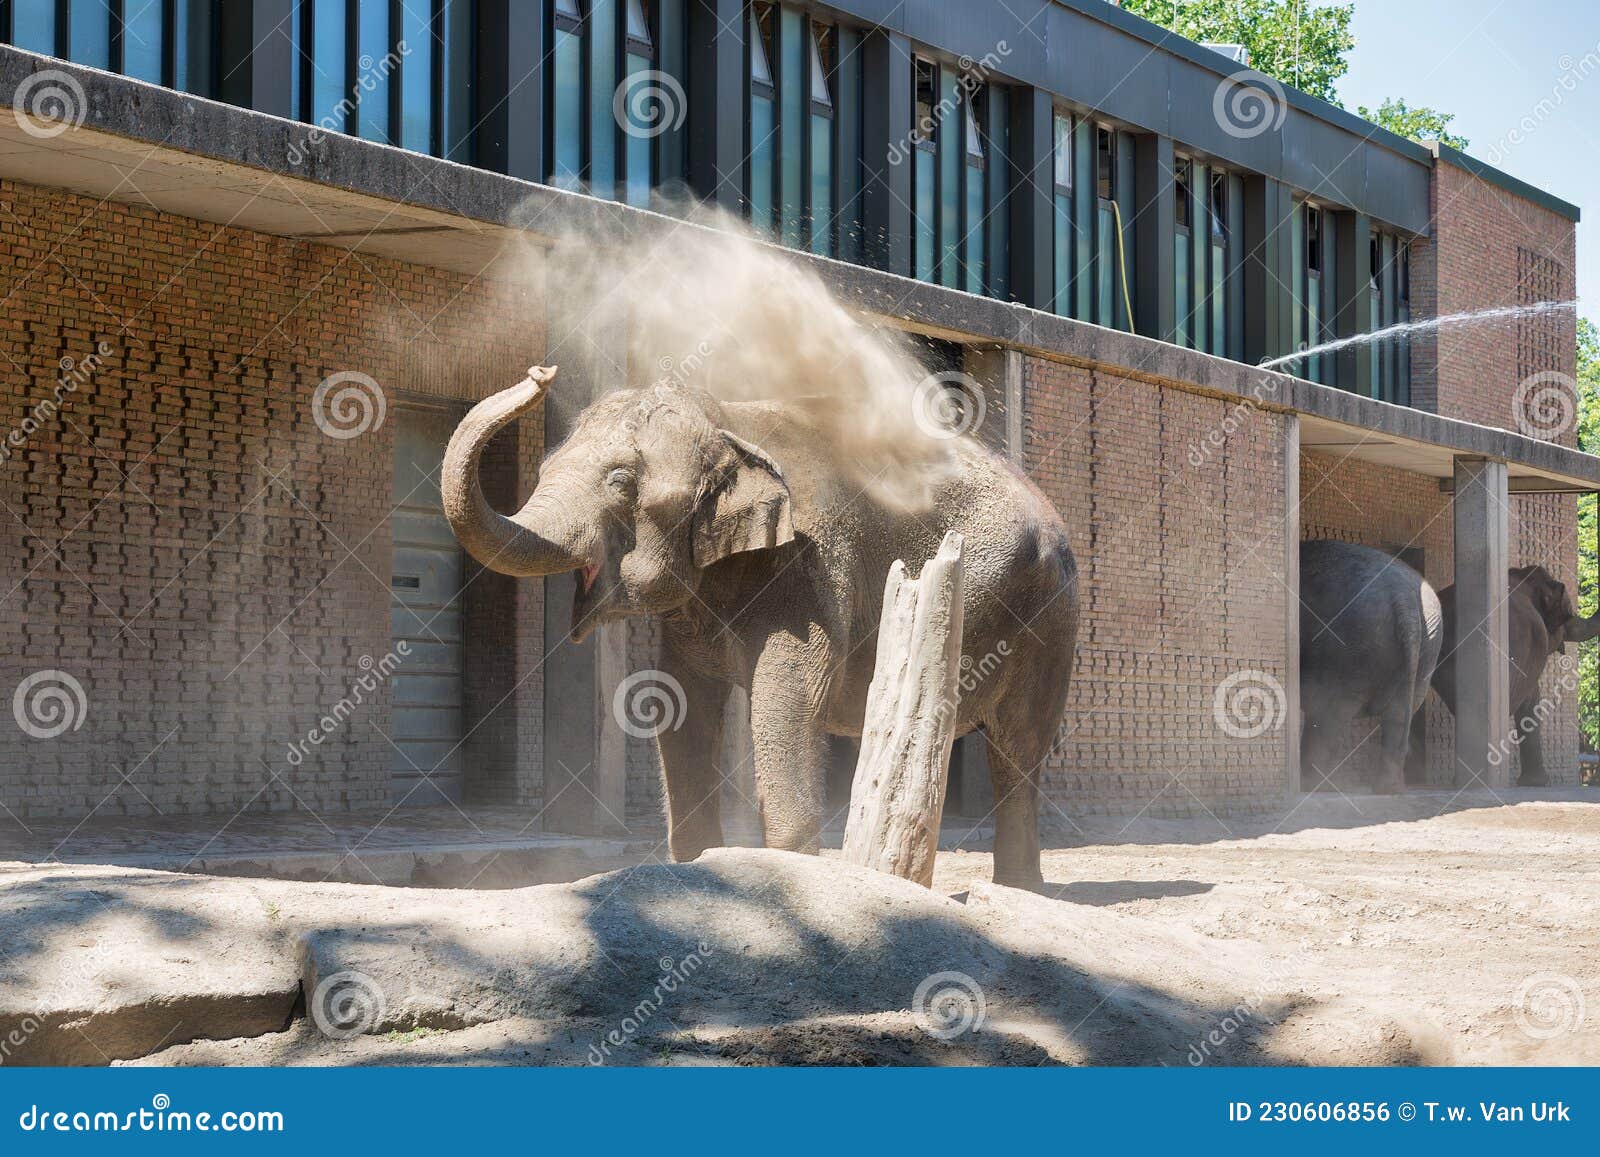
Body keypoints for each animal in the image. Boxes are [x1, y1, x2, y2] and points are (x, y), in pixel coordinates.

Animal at [444, 366, 1081, 889]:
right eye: (545, 469)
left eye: (620, 481)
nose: (541, 373)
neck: (727, 423)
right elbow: (680, 700)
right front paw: (698, 867)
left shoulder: (811, 564)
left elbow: (792, 693)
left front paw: (789, 867)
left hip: (1048, 618)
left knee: (1017, 749)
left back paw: (1019, 889)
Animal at [1292, 537, 1446, 790]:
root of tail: (1404, 600)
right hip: (1427, 648)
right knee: (1400, 714)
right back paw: (1387, 789)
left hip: (1350, 649)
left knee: (1328, 715)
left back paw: (1312, 785)